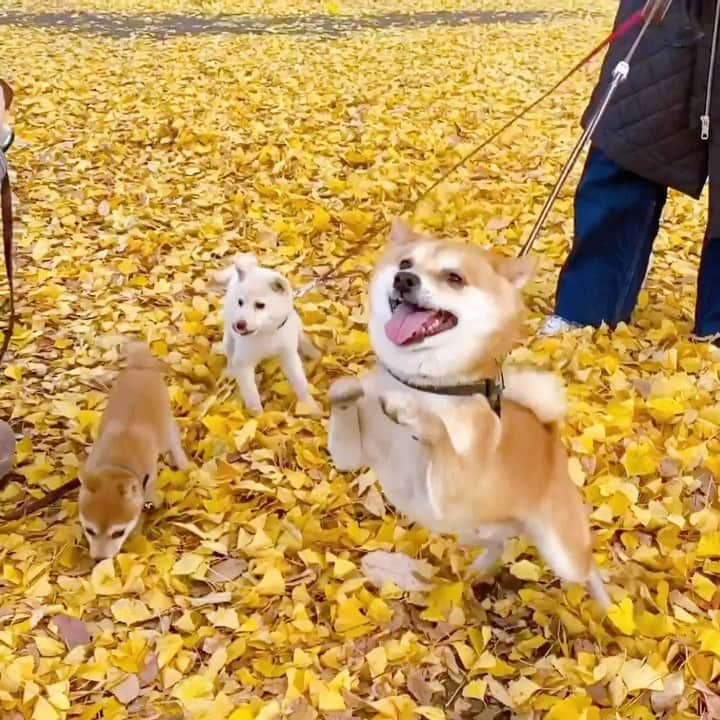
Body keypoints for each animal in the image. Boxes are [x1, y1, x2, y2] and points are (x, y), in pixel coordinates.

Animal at [77, 340, 188, 560]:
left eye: (118, 533)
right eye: (90, 530)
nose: (100, 559)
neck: (118, 462)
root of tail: (140, 364)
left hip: (165, 428)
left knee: (173, 439)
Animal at [215, 253, 322, 416]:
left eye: (260, 305)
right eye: (240, 302)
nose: (239, 325)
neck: (267, 333)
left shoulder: (288, 356)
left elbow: (301, 384)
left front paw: (311, 408)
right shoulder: (244, 362)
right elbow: (252, 395)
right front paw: (258, 417)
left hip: (296, 323)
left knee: (301, 336)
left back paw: (312, 352)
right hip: (228, 338)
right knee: (229, 353)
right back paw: (230, 370)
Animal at [330, 219, 612, 608]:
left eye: (454, 278)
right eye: (405, 264)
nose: (405, 280)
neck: (426, 385)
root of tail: (550, 437)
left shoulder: (455, 482)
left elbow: (442, 435)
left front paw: (412, 413)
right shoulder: (351, 455)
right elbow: (343, 400)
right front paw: (350, 389)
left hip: (562, 552)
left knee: (588, 569)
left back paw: (611, 608)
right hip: (473, 529)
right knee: (501, 543)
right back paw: (481, 568)